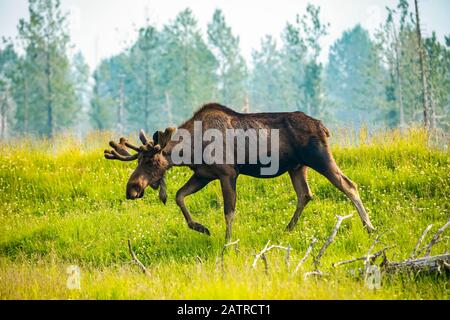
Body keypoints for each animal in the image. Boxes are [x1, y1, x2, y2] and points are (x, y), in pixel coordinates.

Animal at [103, 103, 374, 242]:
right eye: (139, 160)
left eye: (150, 161)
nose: (131, 189)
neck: (190, 149)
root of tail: (323, 127)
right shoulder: (204, 174)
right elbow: (180, 196)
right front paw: (201, 227)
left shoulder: (227, 173)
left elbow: (229, 212)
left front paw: (227, 243)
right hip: (297, 167)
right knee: (305, 195)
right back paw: (287, 229)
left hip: (320, 158)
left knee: (348, 185)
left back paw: (369, 227)